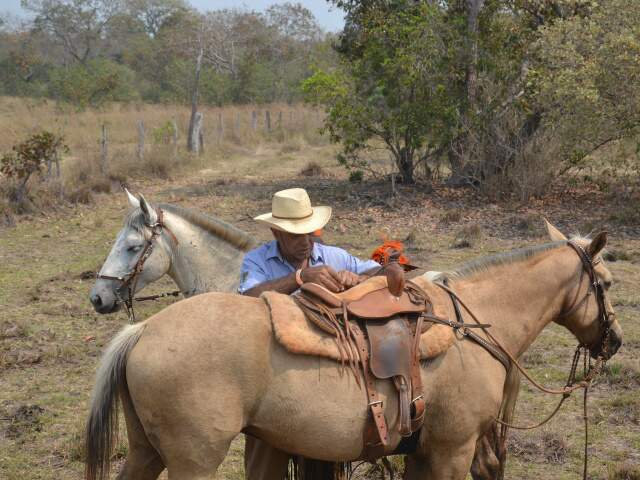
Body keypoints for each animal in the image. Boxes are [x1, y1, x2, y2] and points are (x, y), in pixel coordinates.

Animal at [82, 225, 624, 480]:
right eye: (607, 281)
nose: (615, 340)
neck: (472, 324)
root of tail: (142, 331)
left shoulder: (423, 452)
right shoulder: (452, 450)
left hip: (147, 450)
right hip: (194, 460)